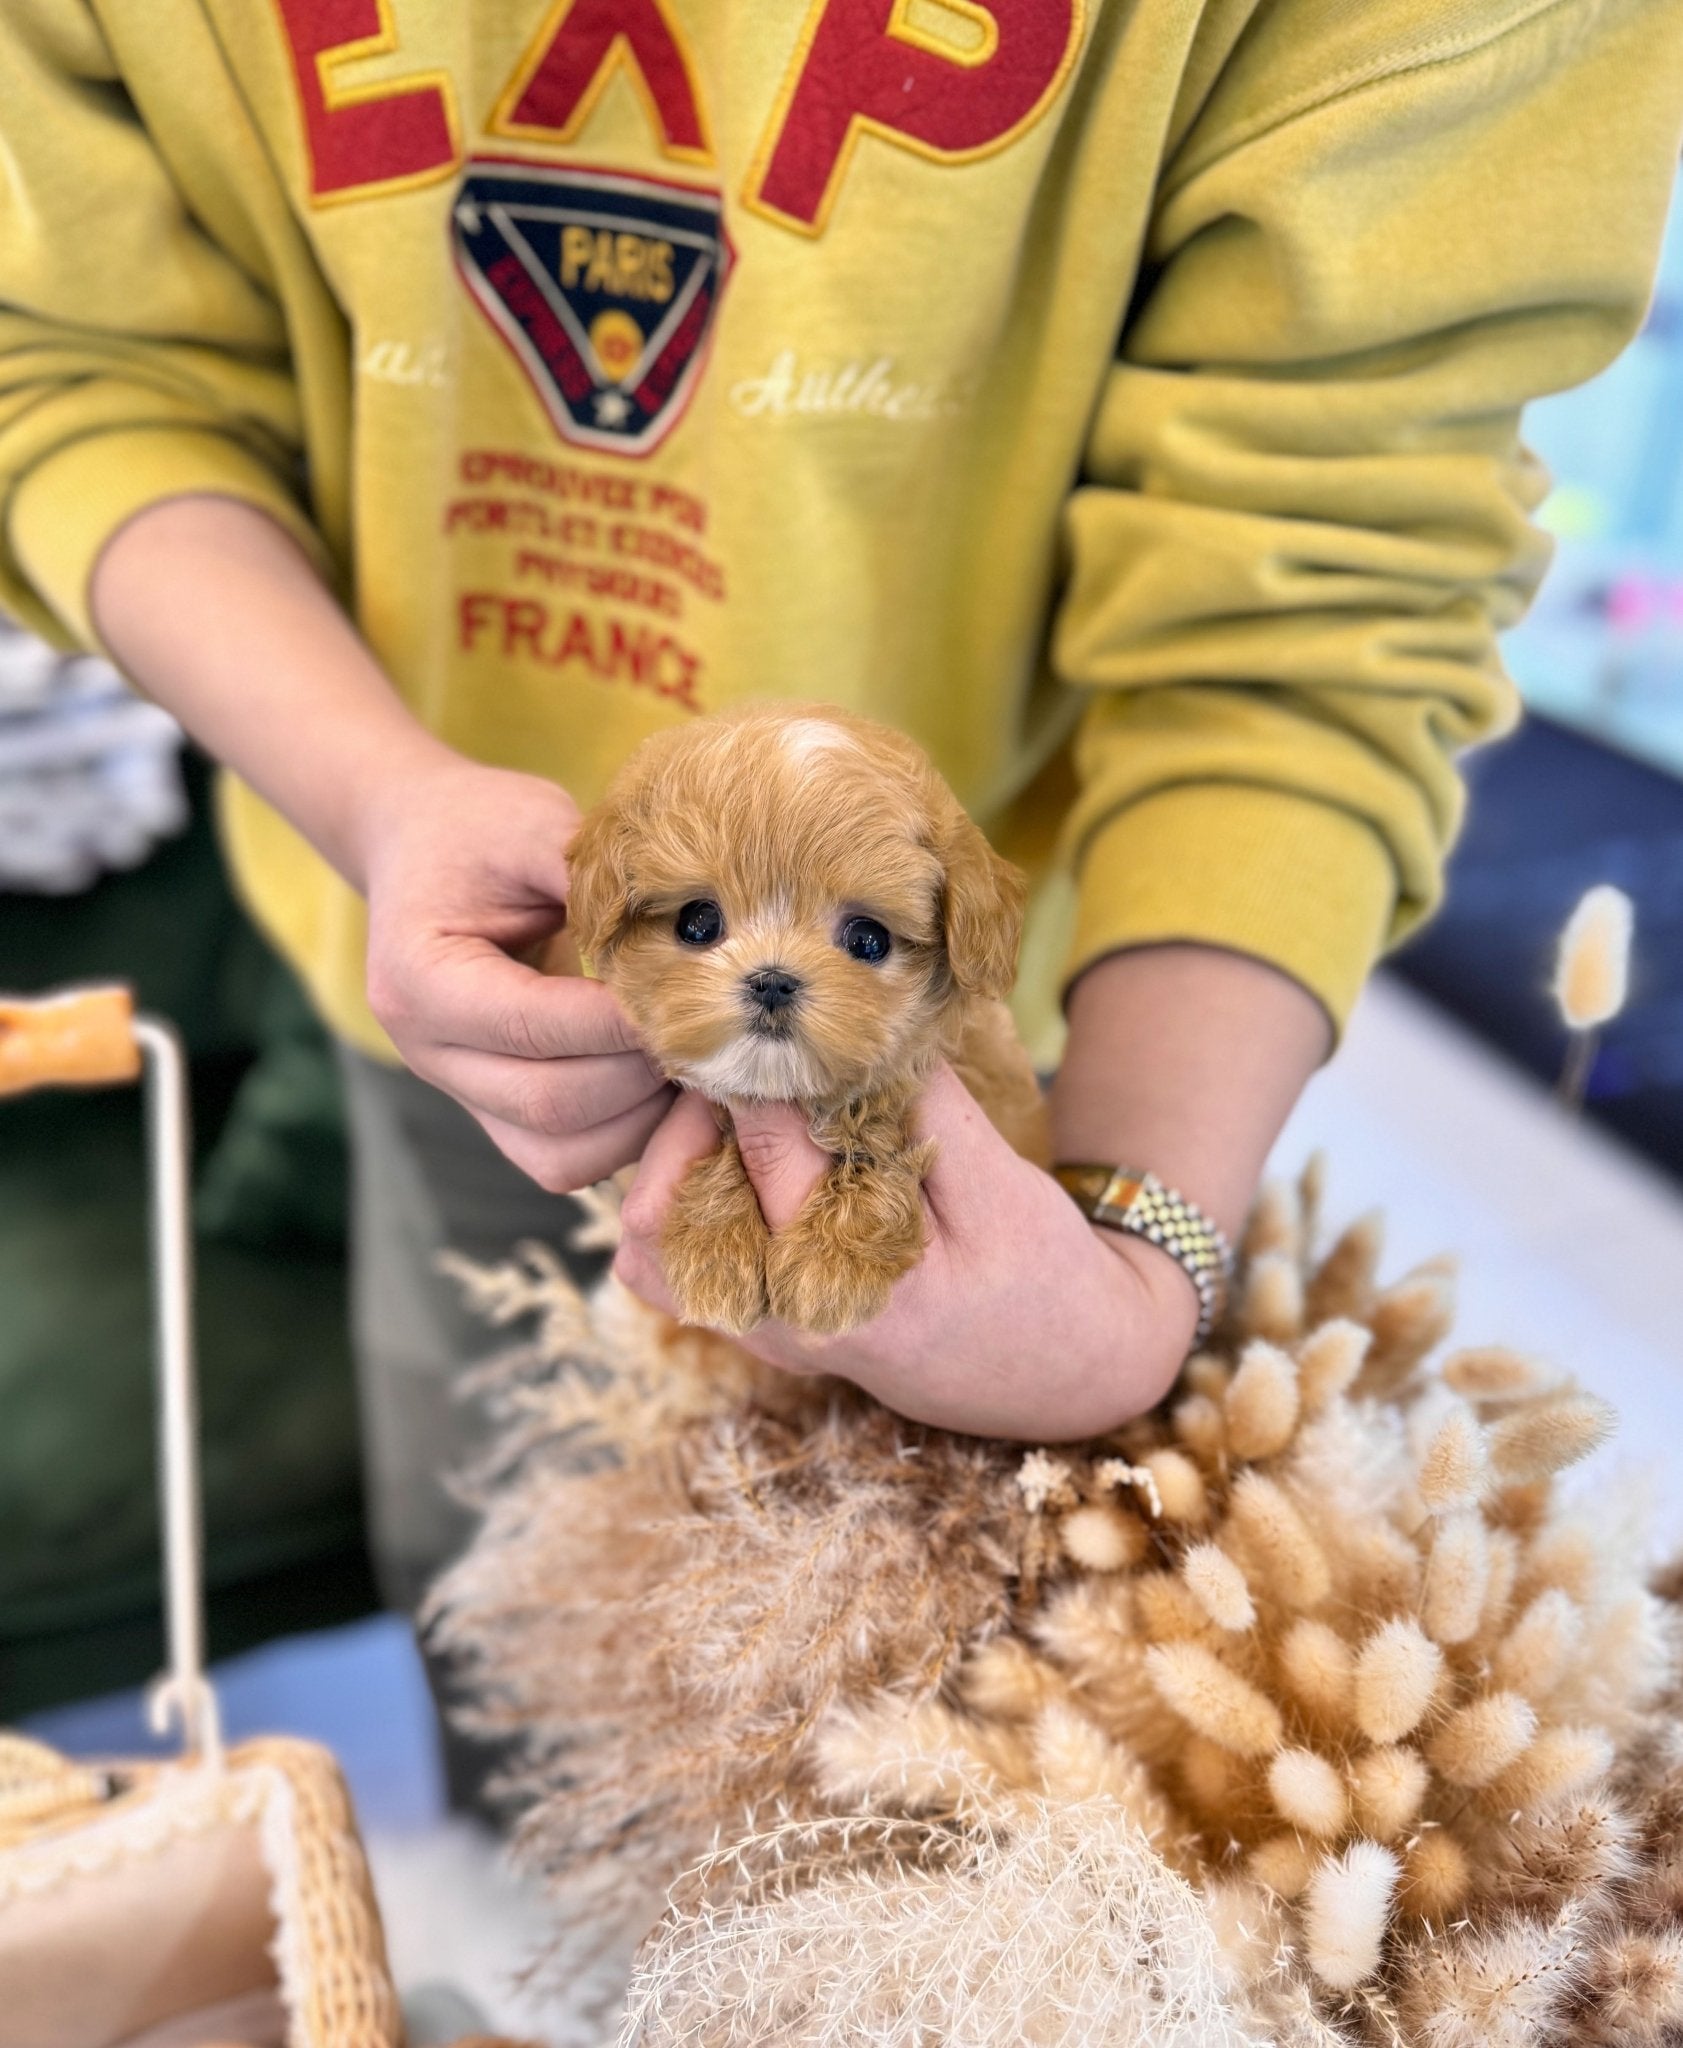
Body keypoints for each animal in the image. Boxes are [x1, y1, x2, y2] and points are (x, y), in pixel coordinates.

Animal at [565, 704, 1048, 1343]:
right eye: (697, 922)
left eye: (868, 939)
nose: (772, 979)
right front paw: (714, 1249)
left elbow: (884, 1139)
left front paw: (834, 1261)